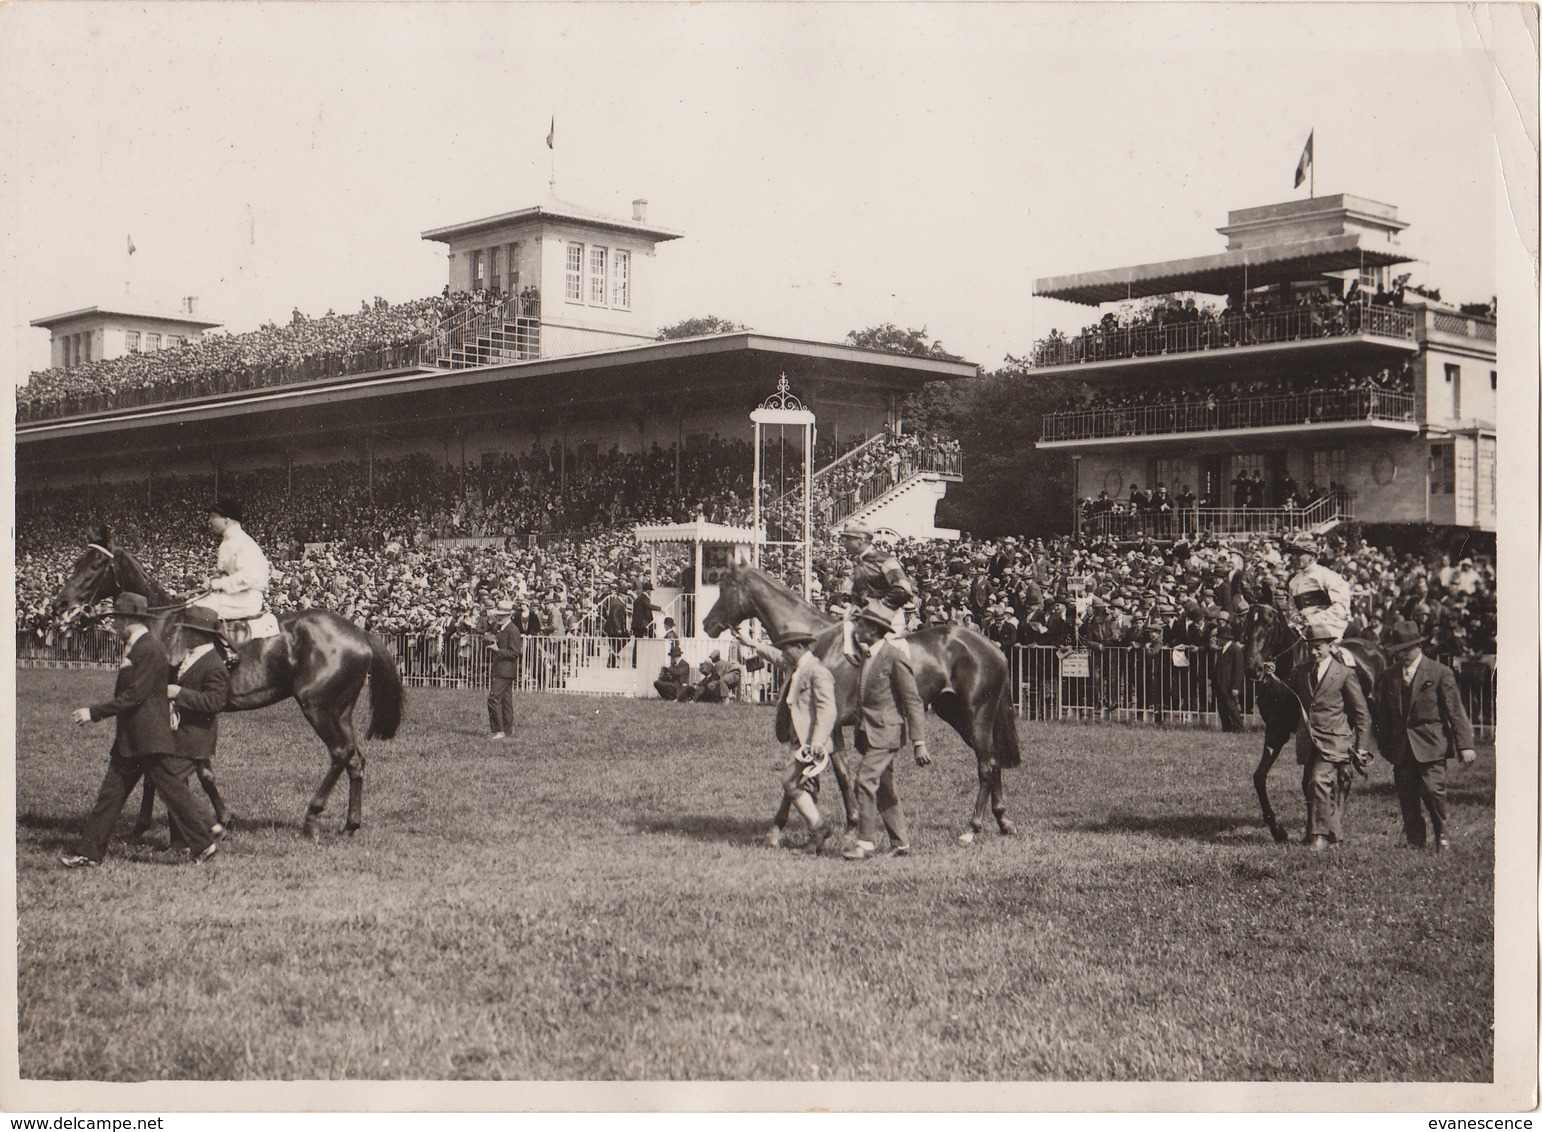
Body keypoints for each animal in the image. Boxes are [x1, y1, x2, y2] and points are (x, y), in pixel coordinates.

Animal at [52, 533, 404, 845]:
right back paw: (350, 825)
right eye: (77, 561)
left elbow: (196, 770)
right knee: (355, 759)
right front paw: (149, 823)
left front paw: (220, 820)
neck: (166, 626)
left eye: (96, 564)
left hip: (317, 707)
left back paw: (312, 817)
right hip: (340, 710)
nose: (61, 603)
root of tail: (360, 633)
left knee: (340, 754)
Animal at [703, 561, 1023, 845]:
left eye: (725, 587)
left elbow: (831, 775)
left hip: (977, 716)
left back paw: (973, 828)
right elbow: (834, 775)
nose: (707, 624)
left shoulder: (826, 723)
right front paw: (836, 825)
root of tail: (993, 647)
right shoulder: (828, 728)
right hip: (958, 716)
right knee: (993, 762)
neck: (816, 642)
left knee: (986, 767)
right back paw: (1003, 821)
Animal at [1239, 607, 1387, 845]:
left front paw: (1312, 831)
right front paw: (1278, 830)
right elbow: (1260, 777)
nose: (1253, 668)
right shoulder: (1276, 730)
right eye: (1245, 623)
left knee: (1347, 774)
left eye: (1269, 624)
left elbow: (1309, 780)